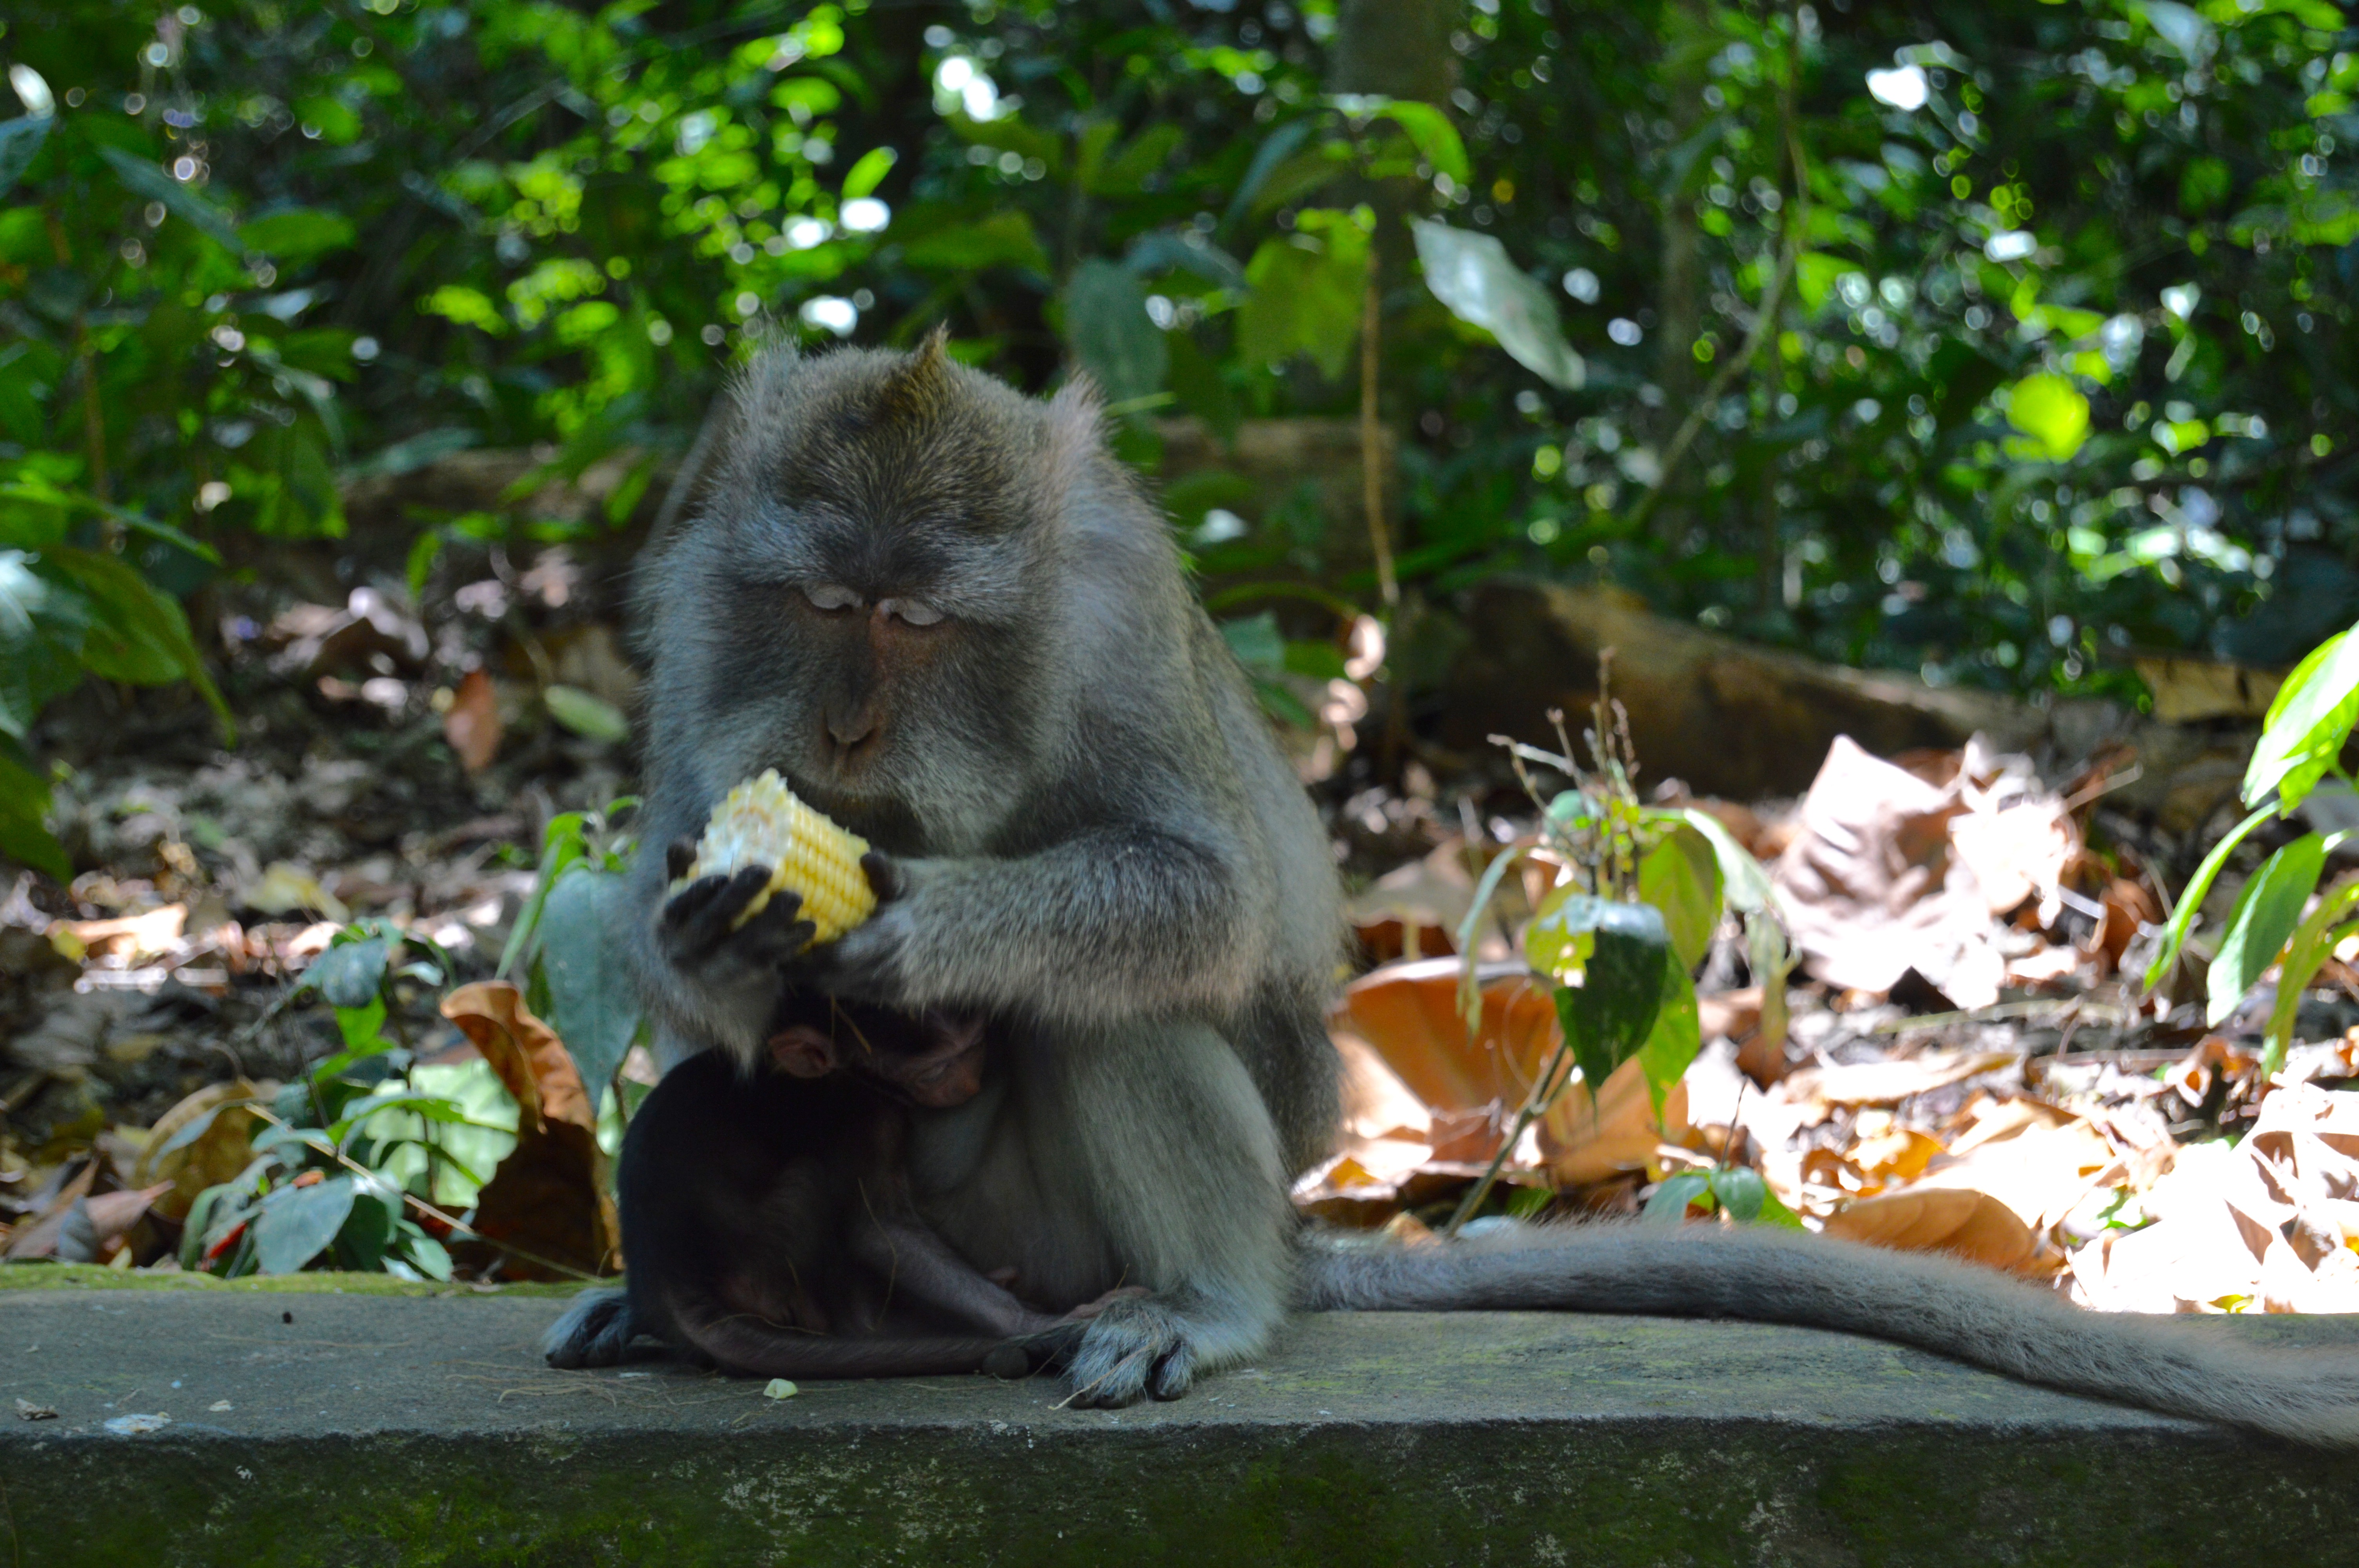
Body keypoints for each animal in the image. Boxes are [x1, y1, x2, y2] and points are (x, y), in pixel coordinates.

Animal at [544, 977, 1074, 1378]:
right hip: (767, 1263)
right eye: (936, 1070)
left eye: (977, 1042)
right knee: (816, 1190)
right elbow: (878, 1231)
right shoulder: (864, 1112)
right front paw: (1034, 1321)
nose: (970, 1082)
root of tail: (673, 1285)